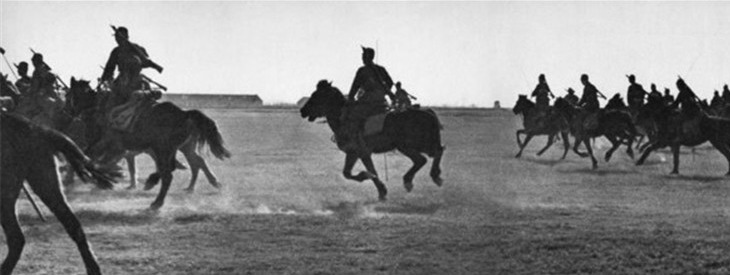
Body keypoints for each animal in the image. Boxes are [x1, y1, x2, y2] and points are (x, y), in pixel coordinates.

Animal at [67, 77, 230, 209]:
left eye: (70, 95)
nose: (70, 113)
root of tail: (185, 114)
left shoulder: (111, 145)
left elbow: (93, 159)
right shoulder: (117, 149)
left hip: (164, 149)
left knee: (170, 172)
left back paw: (157, 201)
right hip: (179, 148)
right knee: (192, 163)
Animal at [298, 80, 444, 201]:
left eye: (316, 95)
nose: (302, 111)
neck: (344, 119)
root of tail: (428, 112)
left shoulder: (360, 152)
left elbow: (364, 172)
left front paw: (369, 178)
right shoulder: (355, 153)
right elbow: (350, 173)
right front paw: (381, 190)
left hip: (408, 146)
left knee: (423, 158)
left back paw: (411, 180)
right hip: (417, 145)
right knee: (436, 152)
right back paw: (432, 176)